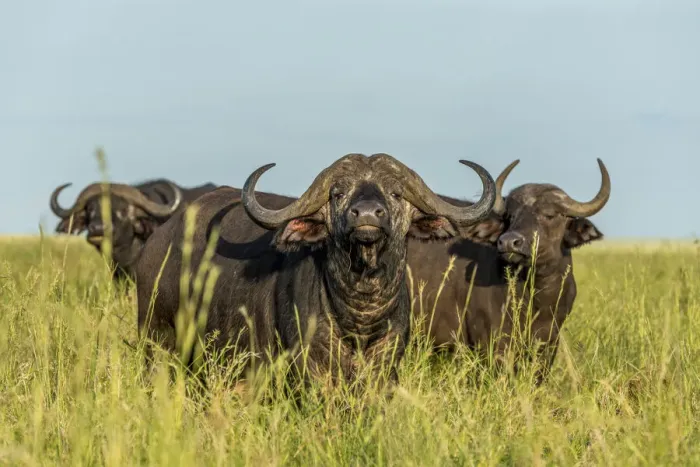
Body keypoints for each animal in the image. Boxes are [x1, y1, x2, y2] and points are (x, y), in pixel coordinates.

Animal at [135, 153, 496, 390]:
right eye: (338, 193)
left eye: (395, 193)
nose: (367, 214)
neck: (360, 314)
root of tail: (157, 242)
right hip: (158, 342)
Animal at [407, 159, 610, 383]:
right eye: (511, 216)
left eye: (549, 215)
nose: (508, 242)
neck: (536, 298)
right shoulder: (493, 344)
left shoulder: (548, 343)